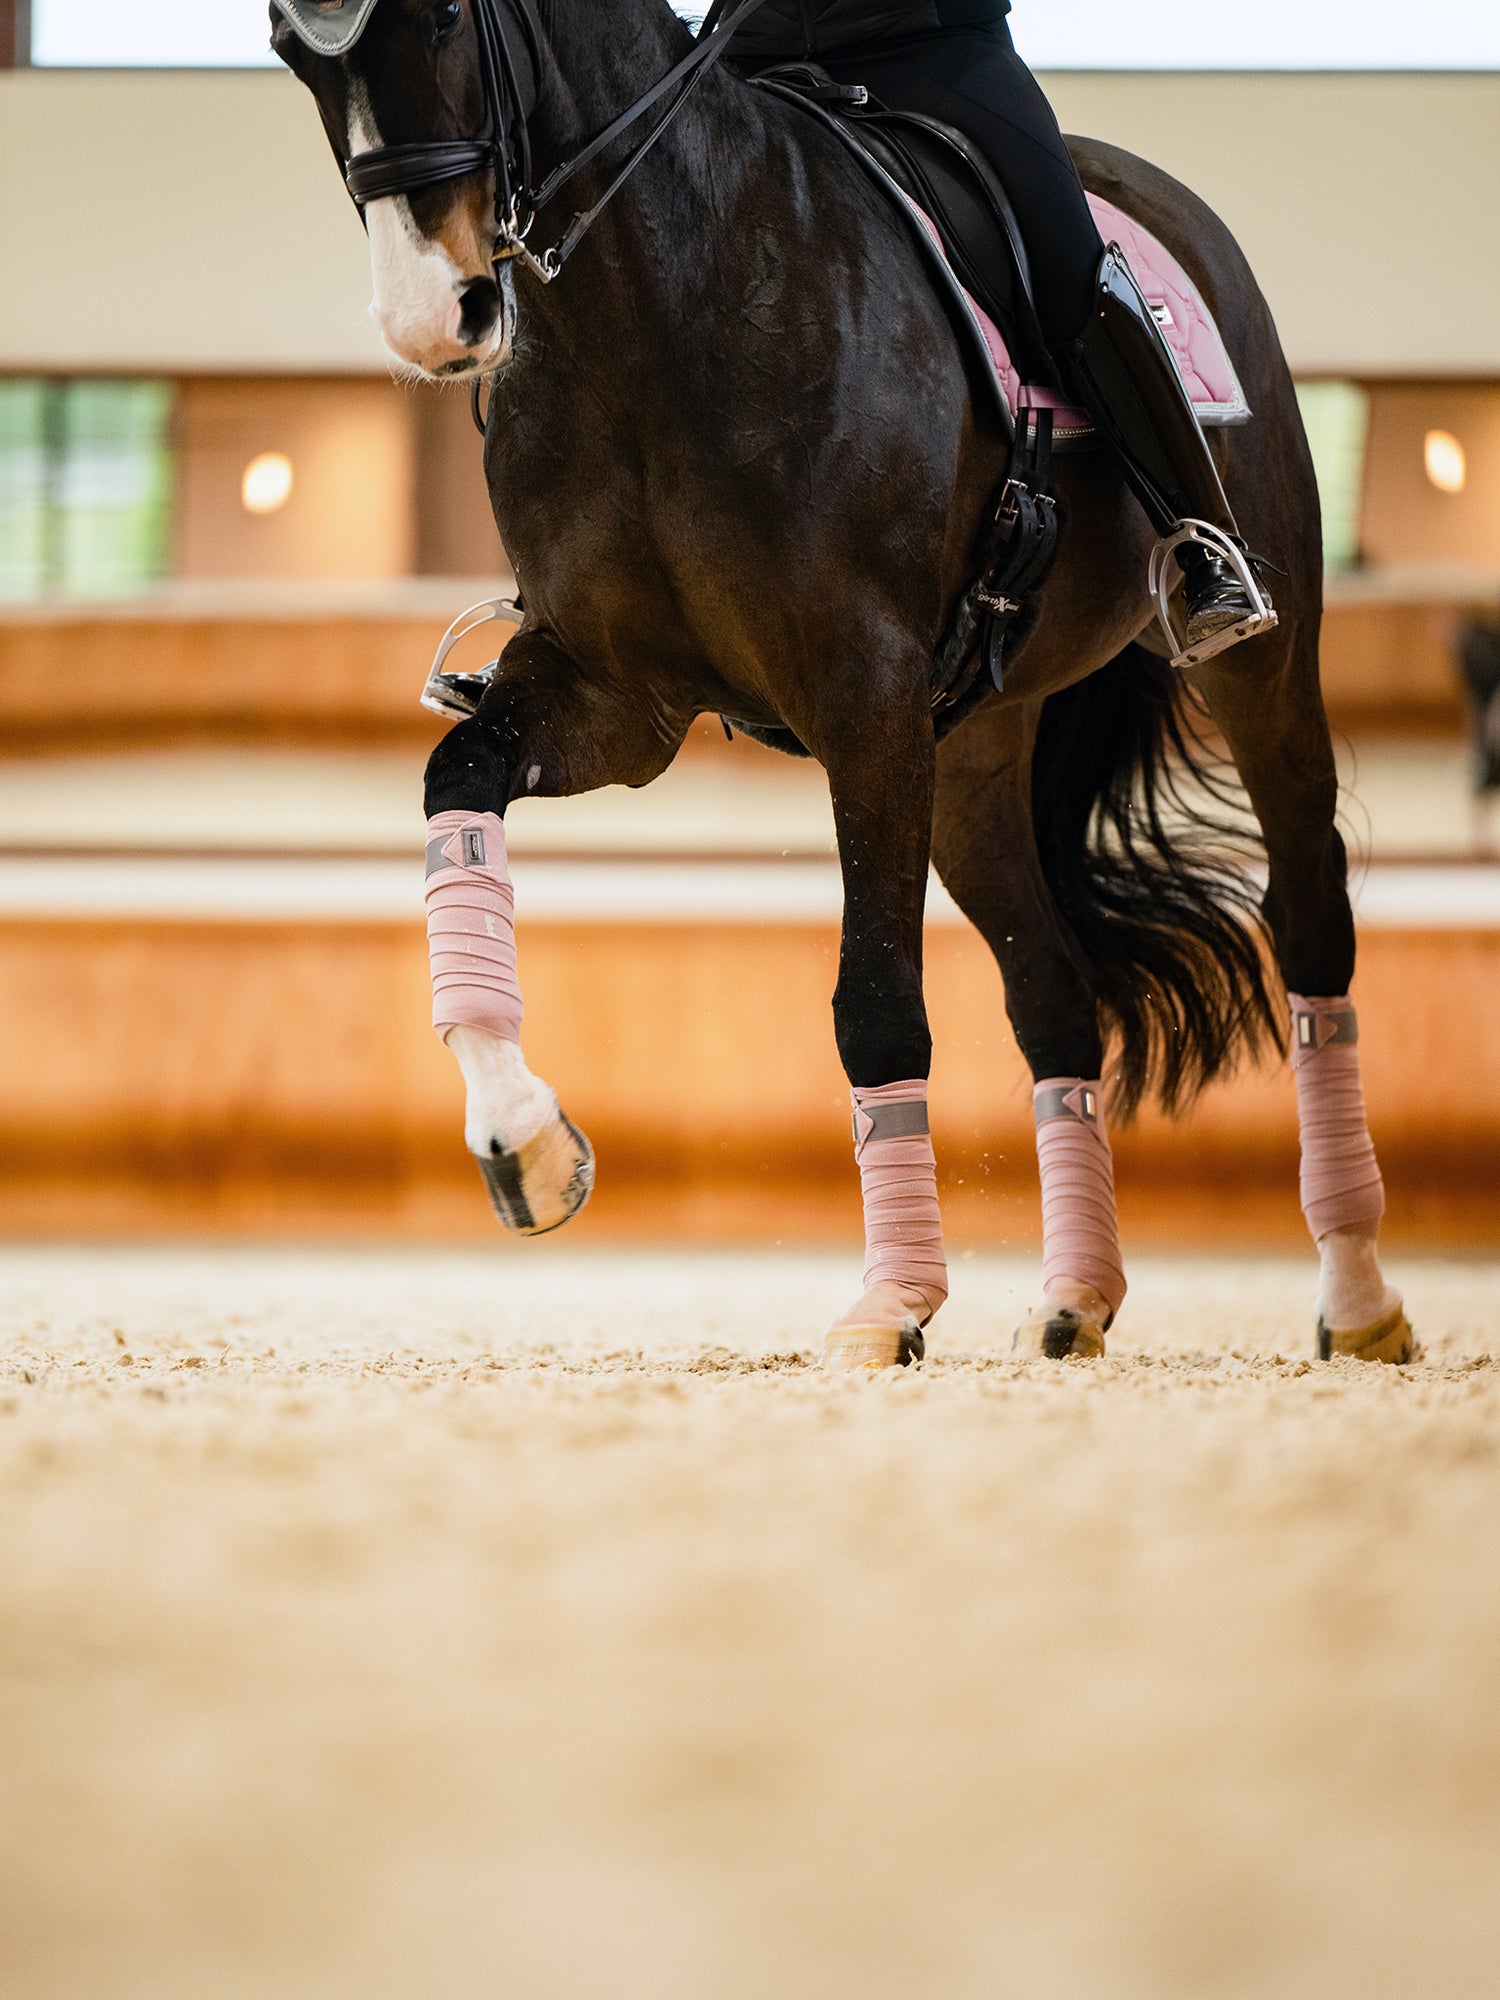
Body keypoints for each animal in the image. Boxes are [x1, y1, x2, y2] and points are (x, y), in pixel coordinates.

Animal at [274, 0, 1424, 1368]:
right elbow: (461, 783)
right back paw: (1076, 1297)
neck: (653, 303)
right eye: (289, 53)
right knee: (1054, 993)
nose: (429, 316)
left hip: (1259, 663)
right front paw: (525, 1140)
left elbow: (874, 1000)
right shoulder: (617, 694)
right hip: (974, 752)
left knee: (1311, 924)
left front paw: (893, 1302)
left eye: (447, 17)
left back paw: (1357, 1294)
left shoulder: (864, 698)